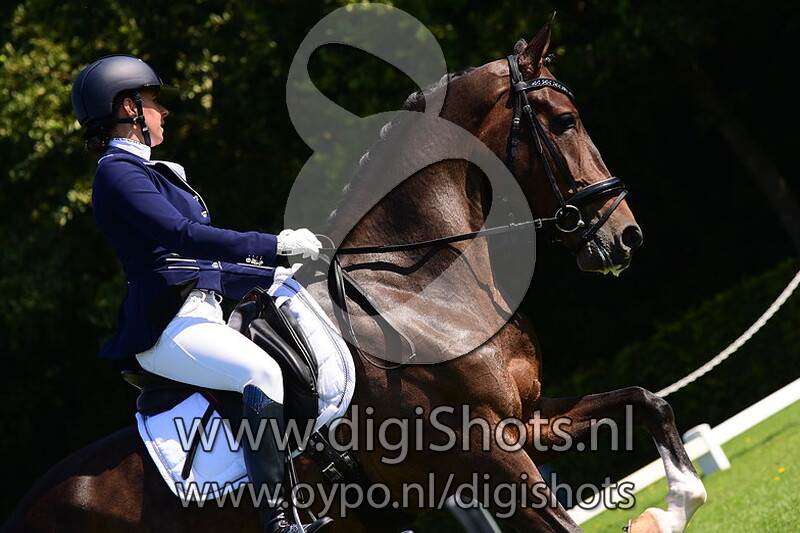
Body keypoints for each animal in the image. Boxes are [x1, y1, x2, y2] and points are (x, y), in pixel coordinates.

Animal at [3, 19, 705, 533]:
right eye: (564, 122)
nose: (626, 236)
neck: (417, 292)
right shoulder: (485, 451)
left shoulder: (525, 421)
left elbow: (648, 399)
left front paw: (672, 506)